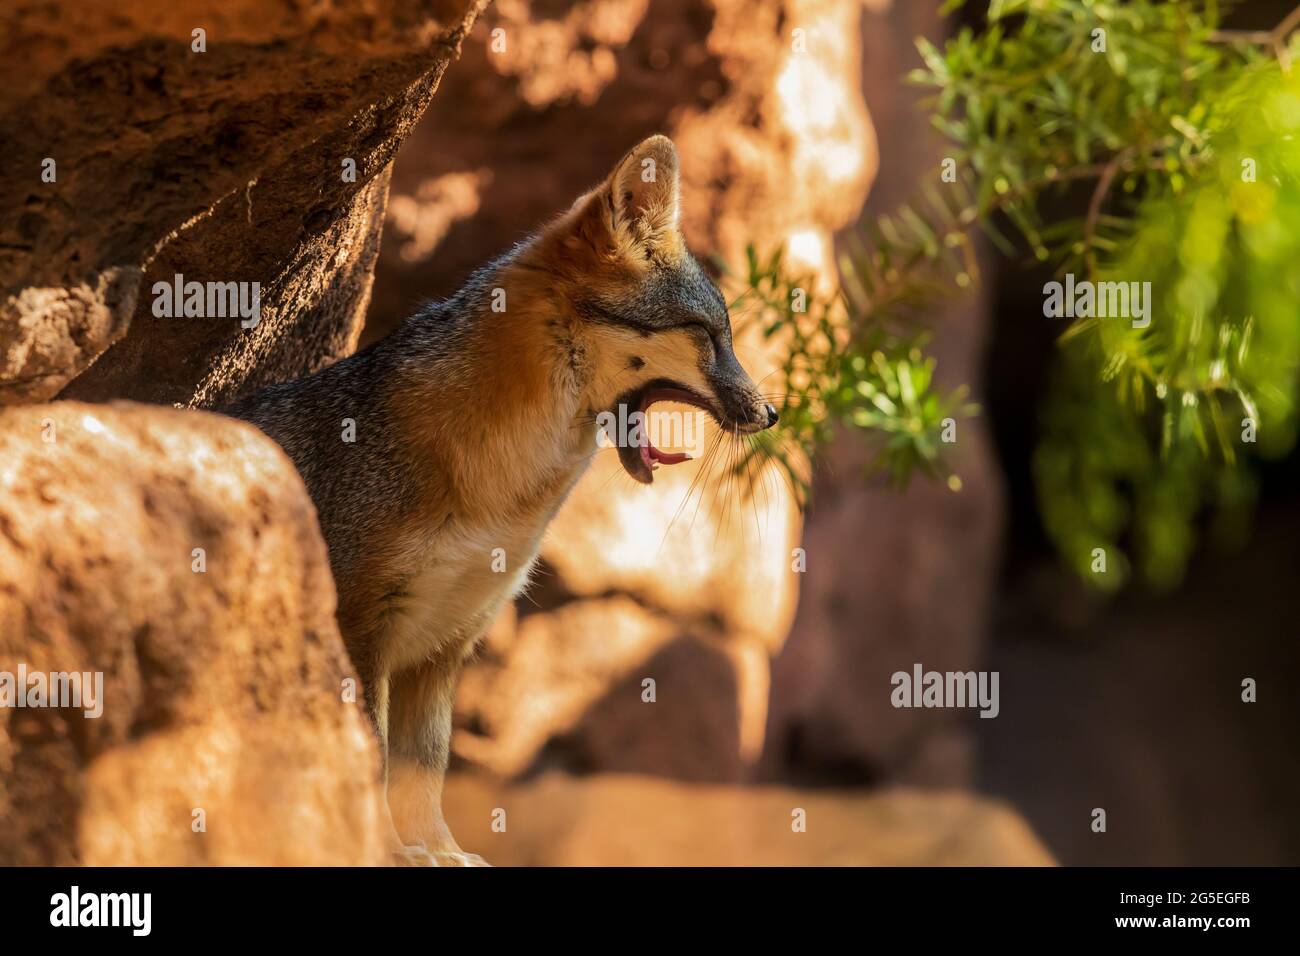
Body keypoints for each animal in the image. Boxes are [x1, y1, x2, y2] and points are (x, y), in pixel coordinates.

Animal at [224, 135, 777, 866]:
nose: (772, 413)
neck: (502, 497)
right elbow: (371, 753)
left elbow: (422, 768)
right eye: (709, 335)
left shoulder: (447, 640)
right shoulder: (363, 625)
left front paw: (435, 848)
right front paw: (389, 849)